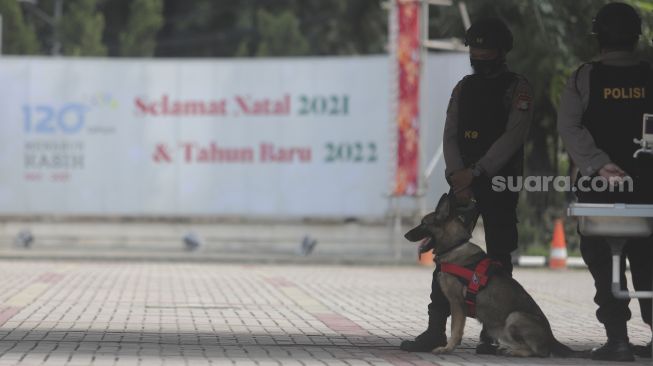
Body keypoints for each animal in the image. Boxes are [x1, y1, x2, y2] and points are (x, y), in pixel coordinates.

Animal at [402, 194, 580, 358]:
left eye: (423, 223)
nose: (405, 235)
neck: (455, 246)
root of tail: (551, 338)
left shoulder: (457, 304)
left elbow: (455, 330)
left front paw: (447, 348)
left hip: (514, 317)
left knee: (538, 352)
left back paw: (511, 351)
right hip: (499, 329)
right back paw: (500, 348)